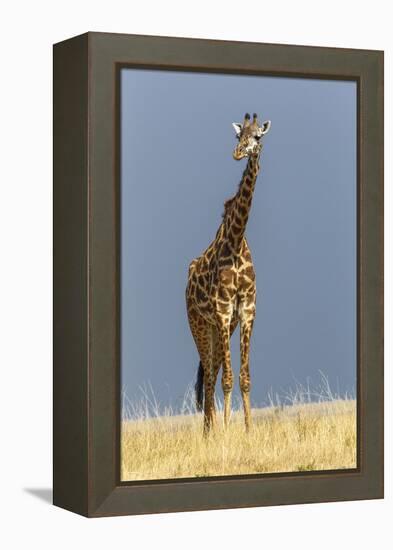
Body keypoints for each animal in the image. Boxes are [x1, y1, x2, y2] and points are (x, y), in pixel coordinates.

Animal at [185, 111, 270, 436]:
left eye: (257, 136)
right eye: (237, 136)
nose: (238, 153)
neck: (235, 241)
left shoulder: (246, 310)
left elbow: (243, 377)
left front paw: (248, 430)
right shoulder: (222, 311)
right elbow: (227, 379)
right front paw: (226, 432)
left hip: (219, 327)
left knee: (212, 370)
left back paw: (211, 429)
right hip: (199, 324)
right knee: (210, 375)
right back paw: (209, 433)